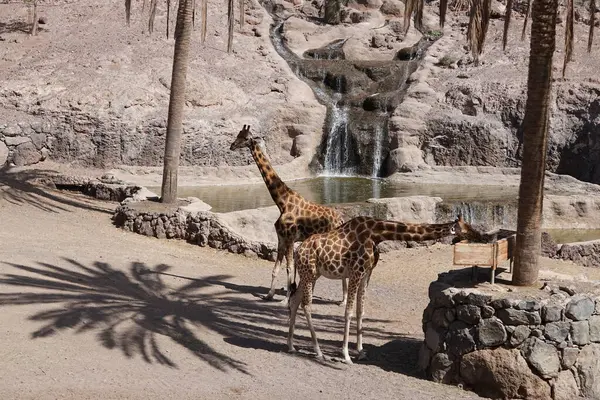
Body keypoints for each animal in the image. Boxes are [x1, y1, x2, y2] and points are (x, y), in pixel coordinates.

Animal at [231, 125, 350, 304]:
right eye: (238, 134)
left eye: (245, 138)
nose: (232, 146)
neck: (282, 202)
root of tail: (341, 220)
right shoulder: (281, 239)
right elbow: (276, 268)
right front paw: (269, 295)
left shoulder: (289, 238)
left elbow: (289, 267)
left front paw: (285, 299)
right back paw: (340, 299)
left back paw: (343, 300)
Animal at [288, 217, 462, 364]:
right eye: (463, 227)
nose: (459, 240)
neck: (377, 234)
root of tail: (297, 250)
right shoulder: (355, 273)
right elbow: (348, 312)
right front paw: (346, 355)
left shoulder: (366, 273)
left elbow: (360, 311)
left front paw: (360, 351)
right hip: (309, 274)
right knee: (306, 305)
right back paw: (318, 352)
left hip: (311, 275)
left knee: (295, 300)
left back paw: (291, 346)